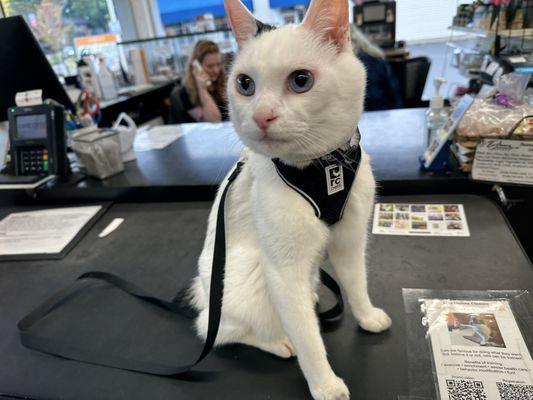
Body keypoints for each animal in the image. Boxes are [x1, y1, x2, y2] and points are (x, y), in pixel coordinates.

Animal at [190, 0, 390, 400]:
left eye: (301, 80)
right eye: (245, 84)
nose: (261, 116)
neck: (323, 166)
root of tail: (203, 295)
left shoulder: (350, 242)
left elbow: (357, 284)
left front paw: (367, 316)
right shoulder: (284, 270)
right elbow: (309, 340)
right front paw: (325, 385)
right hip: (247, 278)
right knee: (216, 330)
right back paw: (280, 342)